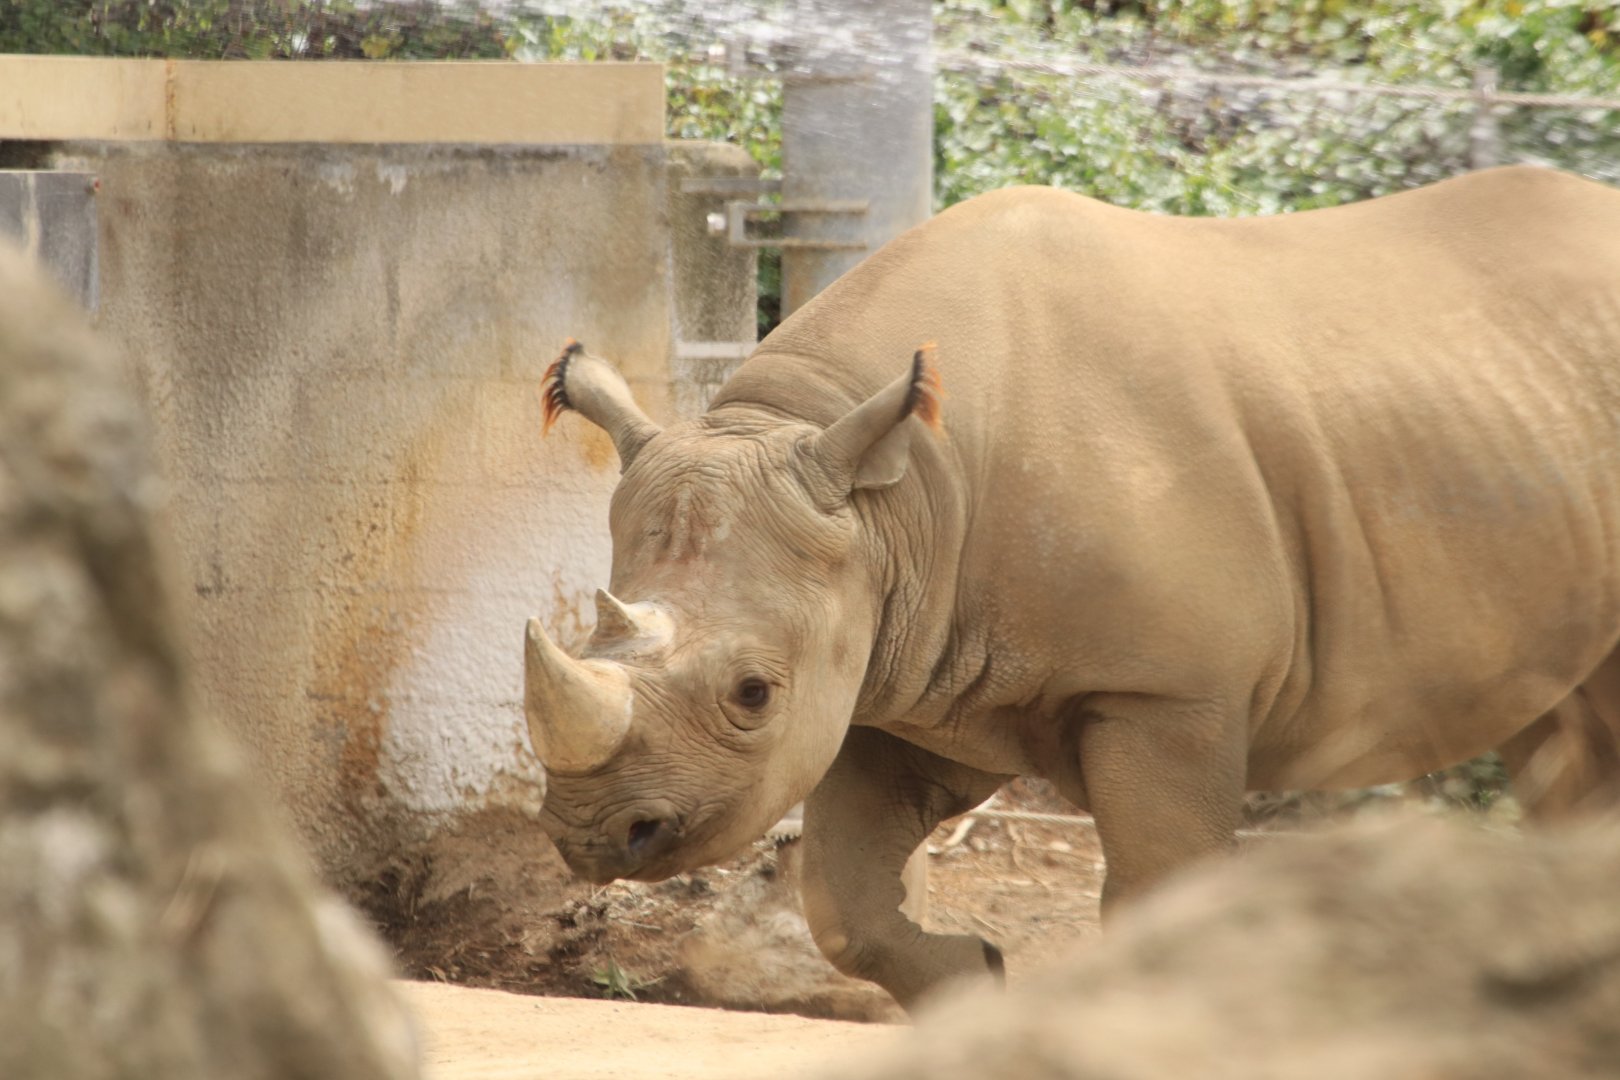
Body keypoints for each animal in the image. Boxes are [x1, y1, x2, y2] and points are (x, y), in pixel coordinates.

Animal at [525, 165, 1620, 1008]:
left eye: (753, 693)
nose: (590, 836)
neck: (896, 504)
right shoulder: (896, 677)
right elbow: (844, 898)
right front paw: (978, 980)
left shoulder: (1168, 692)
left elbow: (1154, 891)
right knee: (1562, 718)